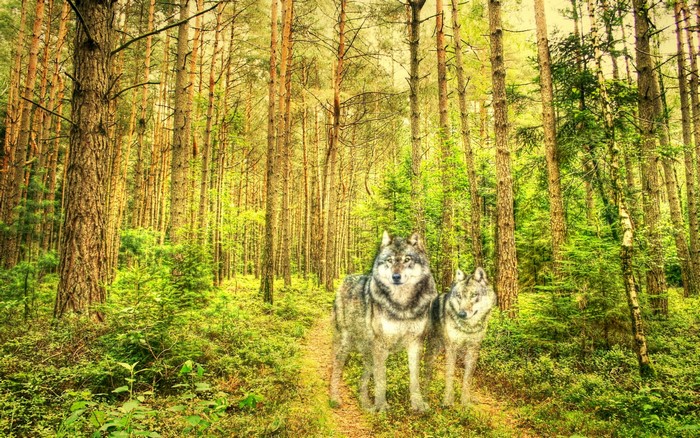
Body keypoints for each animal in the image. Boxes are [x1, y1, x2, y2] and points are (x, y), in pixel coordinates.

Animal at [329, 231, 437, 412]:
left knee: (363, 380)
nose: (396, 276)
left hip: (368, 354)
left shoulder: (415, 343)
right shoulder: (381, 346)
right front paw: (382, 407)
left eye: (407, 259)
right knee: (336, 368)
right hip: (345, 345)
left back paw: (366, 405)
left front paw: (418, 404)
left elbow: (414, 378)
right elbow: (381, 379)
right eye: (390, 260)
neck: (402, 307)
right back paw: (334, 399)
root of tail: (345, 279)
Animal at [427, 267, 496, 407]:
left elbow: (467, 378)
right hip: (432, 345)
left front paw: (465, 402)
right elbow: (450, 374)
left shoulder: (473, 350)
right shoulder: (451, 348)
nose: (462, 314)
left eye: (474, 295)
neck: (468, 328)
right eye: (459, 296)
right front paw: (448, 401)